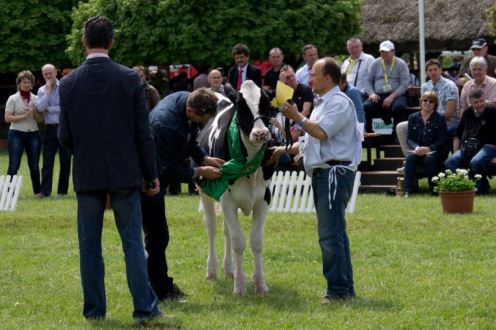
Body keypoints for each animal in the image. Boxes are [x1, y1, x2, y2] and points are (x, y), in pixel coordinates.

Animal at [199, 80, 276, 296]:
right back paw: (212, 271)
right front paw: (240, 287)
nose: (261, 133)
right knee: (211, 227)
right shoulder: (226, 199)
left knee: (225, 230)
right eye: (241, 107)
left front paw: (260, 284)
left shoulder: (264, 198)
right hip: (205, 193)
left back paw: (229, 270)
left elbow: (256, 241)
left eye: (266, 103)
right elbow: (238, 242)